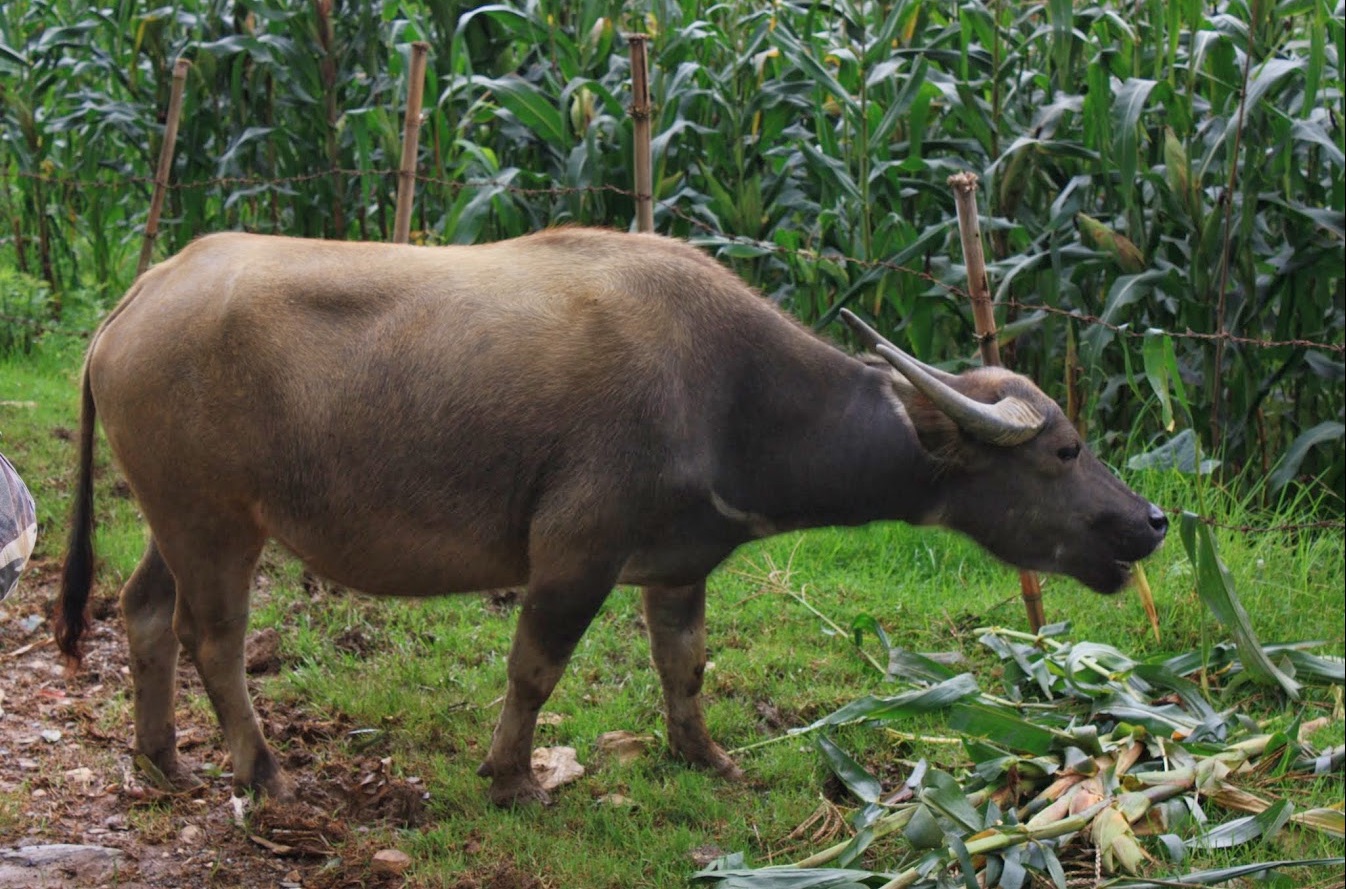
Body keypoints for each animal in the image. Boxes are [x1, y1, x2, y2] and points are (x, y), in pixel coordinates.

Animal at [56, 227, 1167, 807]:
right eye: (1064, 450)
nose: (1149, 522)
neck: (732, 398)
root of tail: (135, 300)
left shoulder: (679, 565)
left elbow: (686, 664)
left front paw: (704, 755)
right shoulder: (573, 555)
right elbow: (534, 668)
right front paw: (512, 777)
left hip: (175, 519)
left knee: (142, 611)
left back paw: (160, 757)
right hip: (216, 522)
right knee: (212, 637)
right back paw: (261, 767)